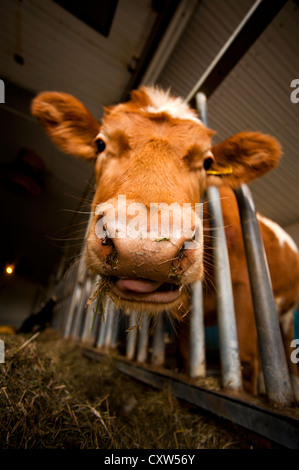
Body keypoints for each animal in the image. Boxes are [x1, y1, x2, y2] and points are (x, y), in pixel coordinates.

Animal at [31, 86, 298, 398]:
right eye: (100, 144)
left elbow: (245, 361)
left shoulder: (244, 295)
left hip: (285, 316)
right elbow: (186, 355)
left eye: (207, 162)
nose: (145, 247)